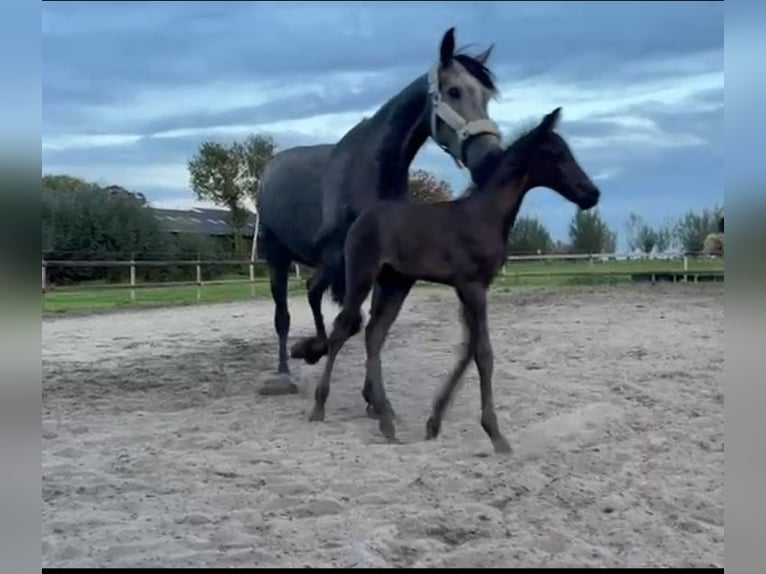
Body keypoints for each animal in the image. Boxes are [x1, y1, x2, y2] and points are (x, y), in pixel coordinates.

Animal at [256, 27, 504, 398]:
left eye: (486, 96)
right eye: (454, 91)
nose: (491, 157)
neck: (371, 170)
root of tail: (270, 170)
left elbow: (373, 326)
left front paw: (371, 395)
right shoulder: (340, 260)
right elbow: (347, 319)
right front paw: (314, 352)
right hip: (278, 257)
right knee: (283, 315)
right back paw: (285, 370)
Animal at [307, 107, 601, 455]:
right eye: (556, 154)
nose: (591, 194)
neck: (483, 216)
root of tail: (361, 218)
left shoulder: (469, 289)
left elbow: (468, 349)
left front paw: (434, 422)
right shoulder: (473, 287)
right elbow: (483, 352)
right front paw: (496, 434)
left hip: (396, 284)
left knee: (374, 334)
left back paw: (386, 420)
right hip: (362, 278)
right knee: (342, 330)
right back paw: (320, 407)